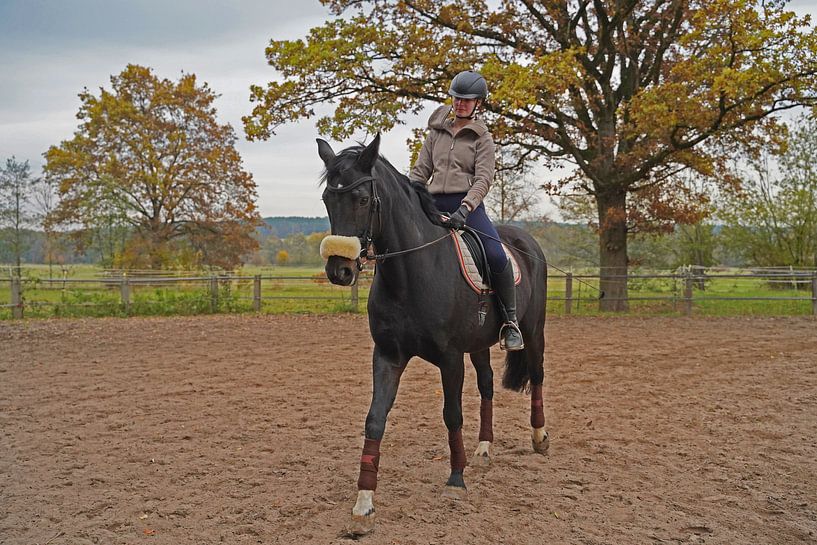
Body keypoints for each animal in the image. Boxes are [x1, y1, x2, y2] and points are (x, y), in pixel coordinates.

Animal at [318, 134, 548, 532]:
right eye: (327, 200)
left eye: (361, 199)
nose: (339, 270)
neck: (411, 272)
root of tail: (526, 241)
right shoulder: (388, 356)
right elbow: (375, 420)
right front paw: (364, 503)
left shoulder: (450, 358)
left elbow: (452, 414)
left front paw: (456, 480)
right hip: (480, 345)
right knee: (487, 385)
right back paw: (484, 448)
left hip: (533, 333)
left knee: (536, 376)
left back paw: (539, 438)